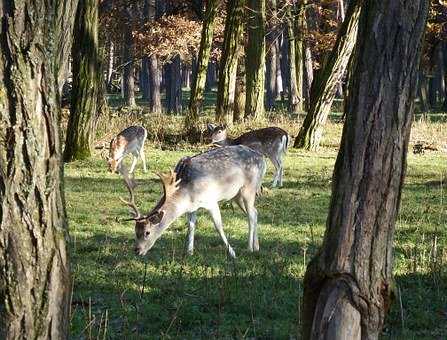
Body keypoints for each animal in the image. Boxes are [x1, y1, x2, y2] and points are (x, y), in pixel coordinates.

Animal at [119, 145, 266, 258]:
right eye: (135, 230)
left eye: (147, 232)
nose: (137, 250)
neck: (188, 195)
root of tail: (262, 158)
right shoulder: (193, 207)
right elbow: (191, 226)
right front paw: (189, 252)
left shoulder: (211, 201)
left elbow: (218, 226)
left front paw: (232, 253)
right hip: (236, 195)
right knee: (255, 212)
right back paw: (257, 246)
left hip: (249, 188)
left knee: (251, 215)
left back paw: (249, 248)